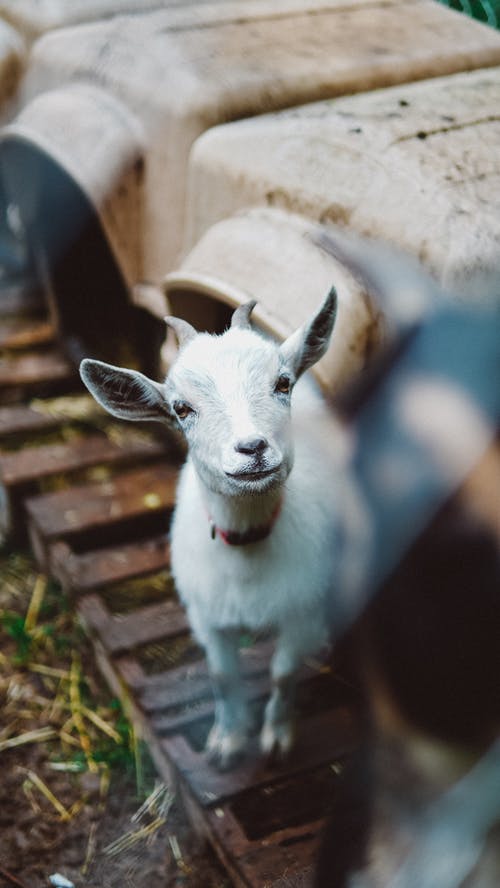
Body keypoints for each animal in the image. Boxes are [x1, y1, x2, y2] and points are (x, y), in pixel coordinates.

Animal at [80, 294, 338, 772]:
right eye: (181, 408)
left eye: (283, 383)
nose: (252, 448)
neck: (248, 551)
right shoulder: (205, 615)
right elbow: (222, 674)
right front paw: (227, 742)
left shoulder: (302, 610)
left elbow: (283, 673)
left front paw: (276, 739)